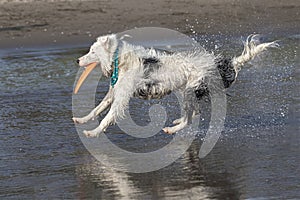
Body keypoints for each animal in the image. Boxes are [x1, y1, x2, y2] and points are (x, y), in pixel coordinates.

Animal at [72, 34, 276, 138]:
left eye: (92, 52)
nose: (77, 60)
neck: (120, 60)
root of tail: (222, 64)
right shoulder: (114, 92)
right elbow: (97, 109)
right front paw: (82, 120)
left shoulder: (122, 96)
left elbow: (108, 117)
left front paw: (93, 132)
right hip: (190, 91)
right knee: (193, 113)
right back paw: (178, 121)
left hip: (190, 90)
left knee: (190, 118)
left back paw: (172, 128)